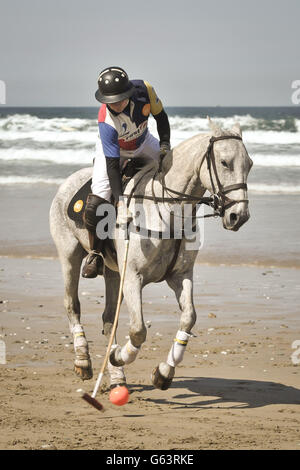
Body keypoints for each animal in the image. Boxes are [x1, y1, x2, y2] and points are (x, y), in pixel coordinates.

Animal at [49, 117, 253, 390]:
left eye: (249, 164)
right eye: (224, 162)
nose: (238, 216)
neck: (169, 211)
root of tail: (68, 181)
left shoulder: (180, 275)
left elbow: (188, 318)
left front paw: (164, 372)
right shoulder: (133, 278)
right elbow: (138, 330)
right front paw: (119, 356)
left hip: (114, 273)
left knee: (108, 319)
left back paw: (117, 377)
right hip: (69, 254)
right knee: (72, 304)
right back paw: (83, 361)